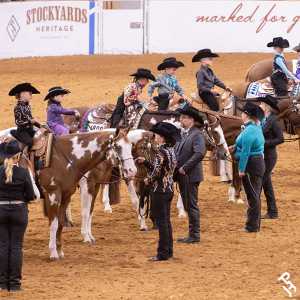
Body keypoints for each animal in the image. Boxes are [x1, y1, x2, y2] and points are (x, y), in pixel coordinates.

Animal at [38, 126, 137, 260]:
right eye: (119, 147)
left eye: (131, 146)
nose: (132, 170)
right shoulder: (86, 185)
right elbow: (85, 212)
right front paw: (85, 236)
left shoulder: (95, 186)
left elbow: (90, 211)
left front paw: (90, 235)